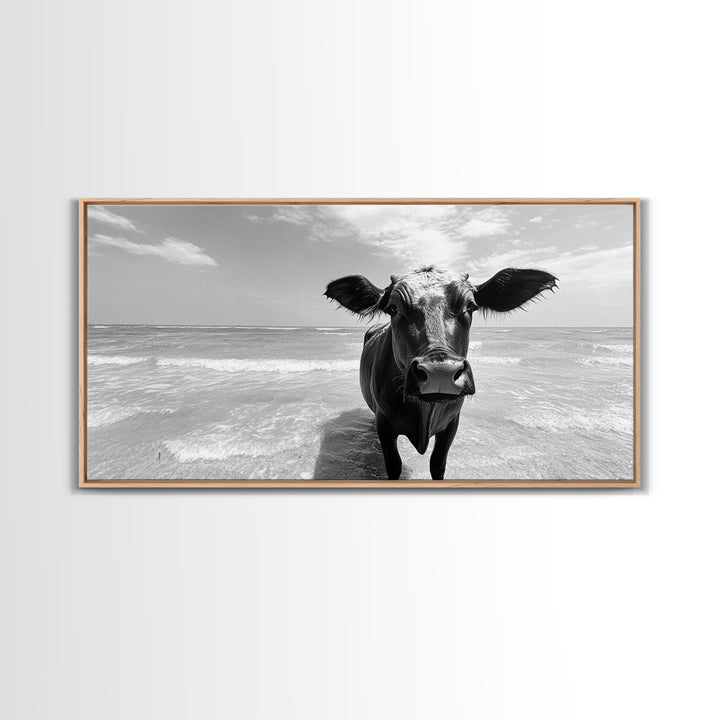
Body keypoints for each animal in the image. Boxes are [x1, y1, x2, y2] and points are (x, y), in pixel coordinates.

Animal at [324, 266, 557, 480]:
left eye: (470, 306)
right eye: (393, 307)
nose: (440, 372)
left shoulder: (451, 425)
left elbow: (437, 464)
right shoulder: (385, 424)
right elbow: (394, 465)